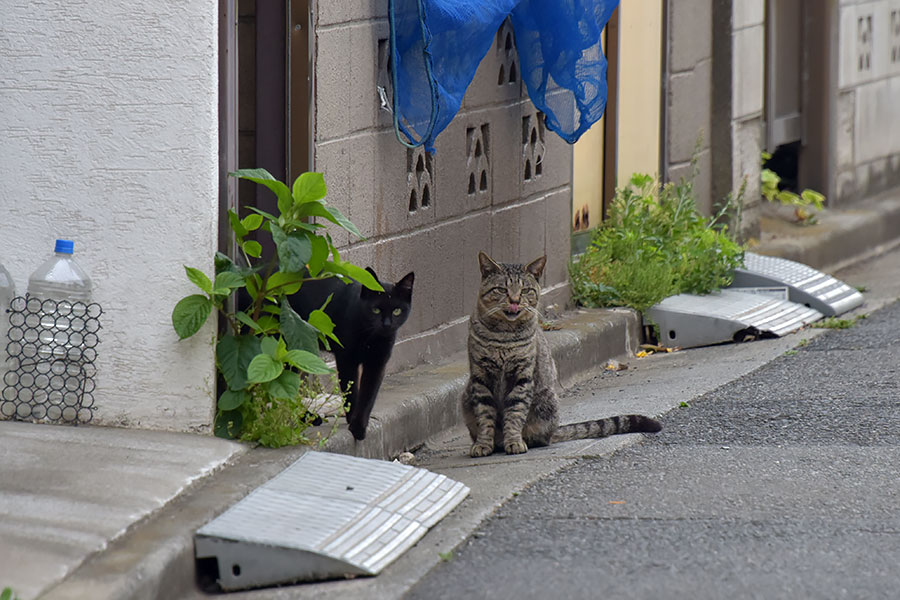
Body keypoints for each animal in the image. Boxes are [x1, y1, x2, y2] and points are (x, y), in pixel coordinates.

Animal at [464, 251, 660, 458]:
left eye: (525, 290)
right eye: (501, 289)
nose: (515, 301)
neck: (504, 335)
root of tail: (554, 429)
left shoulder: (522, 376)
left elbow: (515, 412)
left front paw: (514, 441)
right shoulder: (480, 377)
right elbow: (485, 416)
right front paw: (483, 444)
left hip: (546, 402)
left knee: (541, 438)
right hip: (466, 397)